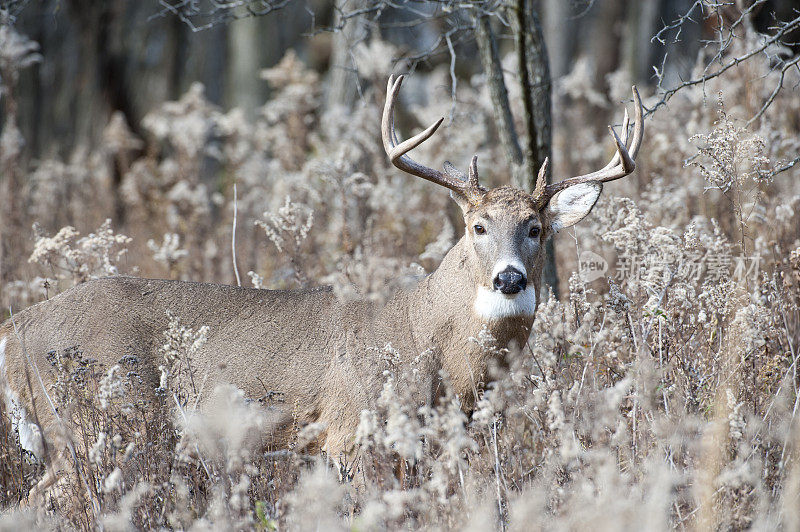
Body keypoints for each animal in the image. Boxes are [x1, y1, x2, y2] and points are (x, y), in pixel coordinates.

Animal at [0, 74, 640, 498]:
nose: (509, 277)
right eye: (477, 226)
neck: (430, 347)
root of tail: (17, 329)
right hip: (91, 421)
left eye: (536, 228)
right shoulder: (351, 431)